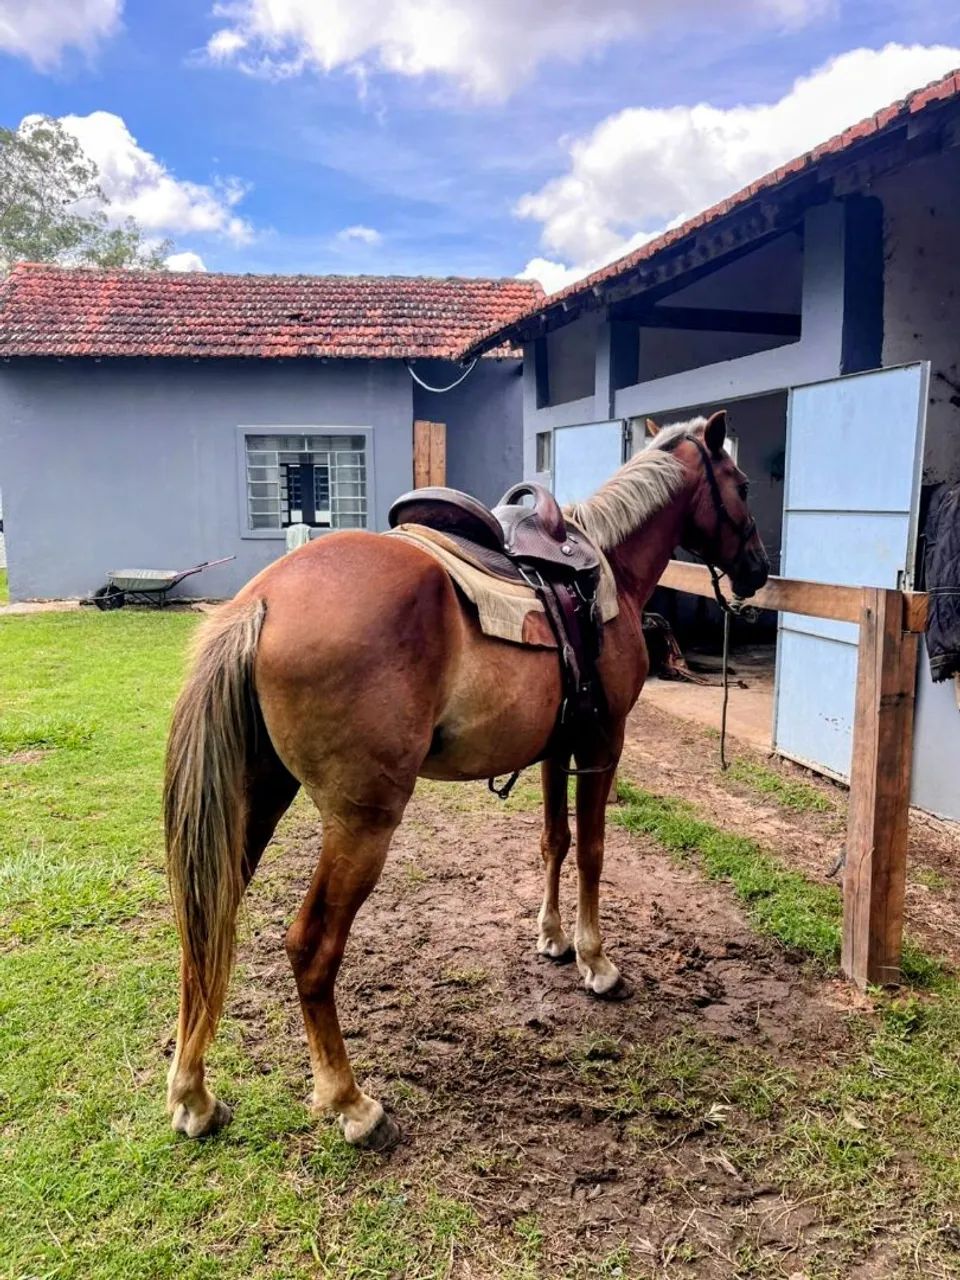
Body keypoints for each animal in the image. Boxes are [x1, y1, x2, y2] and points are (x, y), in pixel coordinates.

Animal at [163, 409, 768, 1150]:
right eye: (741, 484)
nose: (757, 569)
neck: (606, 570)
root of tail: (264, 600)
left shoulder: (557, 746)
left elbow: (554, 841)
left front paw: (552, 939)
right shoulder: (603, 744)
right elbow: (594, 852)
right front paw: (596, 962)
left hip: (256, 801)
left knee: (203, 926)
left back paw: (194, 1096)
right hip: (362, 823)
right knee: (311, 947)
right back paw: (352, 1103)